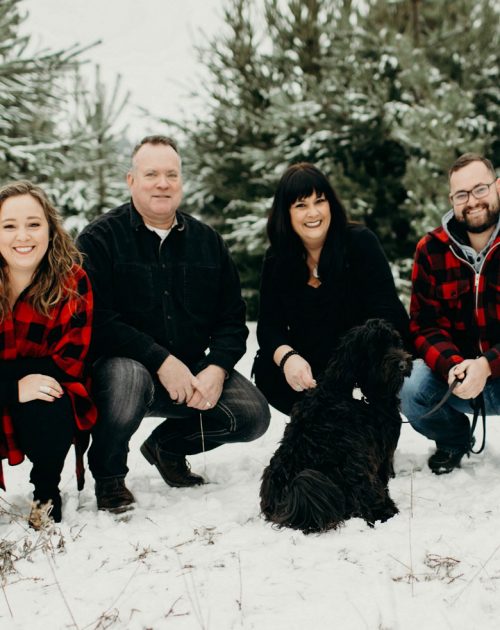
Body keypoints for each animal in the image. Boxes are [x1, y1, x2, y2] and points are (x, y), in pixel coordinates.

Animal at [260, 320, 412, 532]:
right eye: (376, 348)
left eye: (396, 342)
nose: (403, 364)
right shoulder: (378, 451)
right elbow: (382, 479)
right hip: (354, 469)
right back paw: (386, 511)